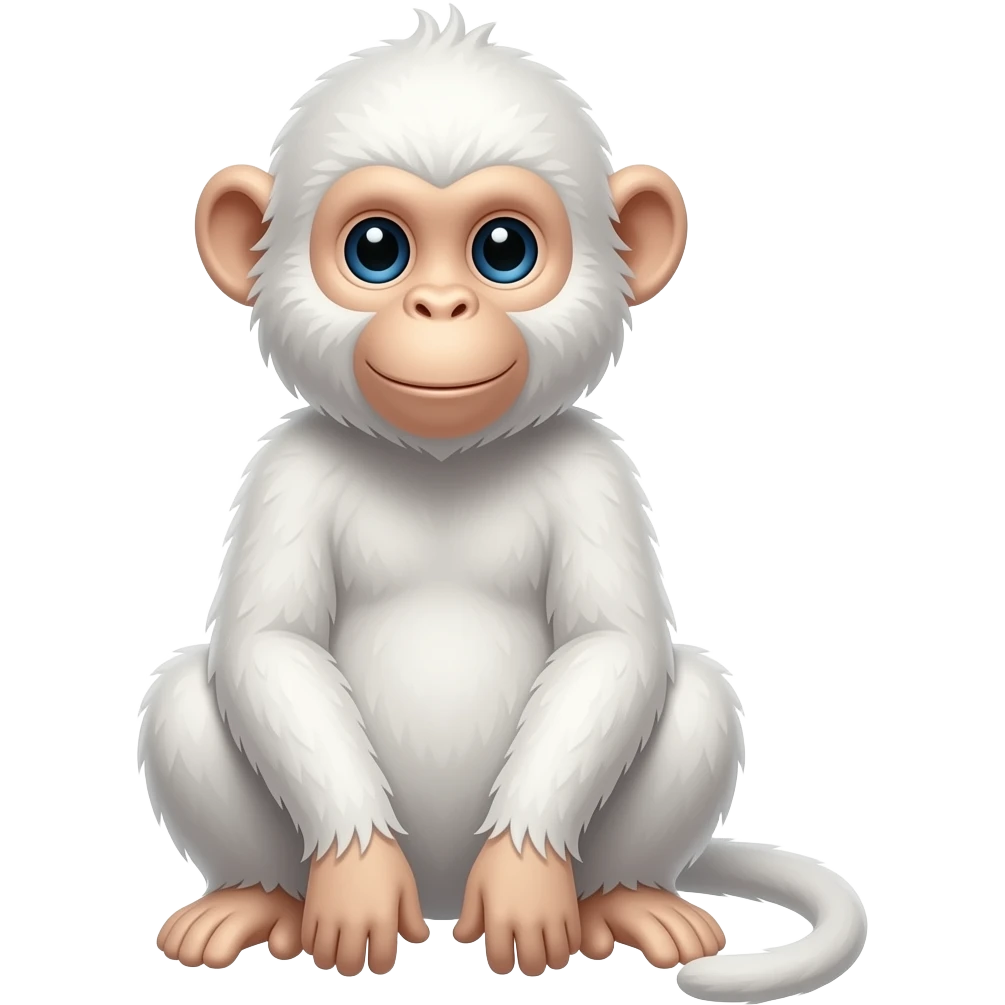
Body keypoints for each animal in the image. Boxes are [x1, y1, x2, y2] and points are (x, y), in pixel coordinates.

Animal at [137, 8, 868, 999]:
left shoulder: (598, 469)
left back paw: (628, 897)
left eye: (502, 250)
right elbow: (270, 645)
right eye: (377, 249)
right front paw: (356, 875)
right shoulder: (283, 469)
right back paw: (253, 898)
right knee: (182, 691)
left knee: (699, 695)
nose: (441, 305)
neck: (442, 464)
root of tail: (444, 898)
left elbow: (611, 645)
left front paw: (526, 874)